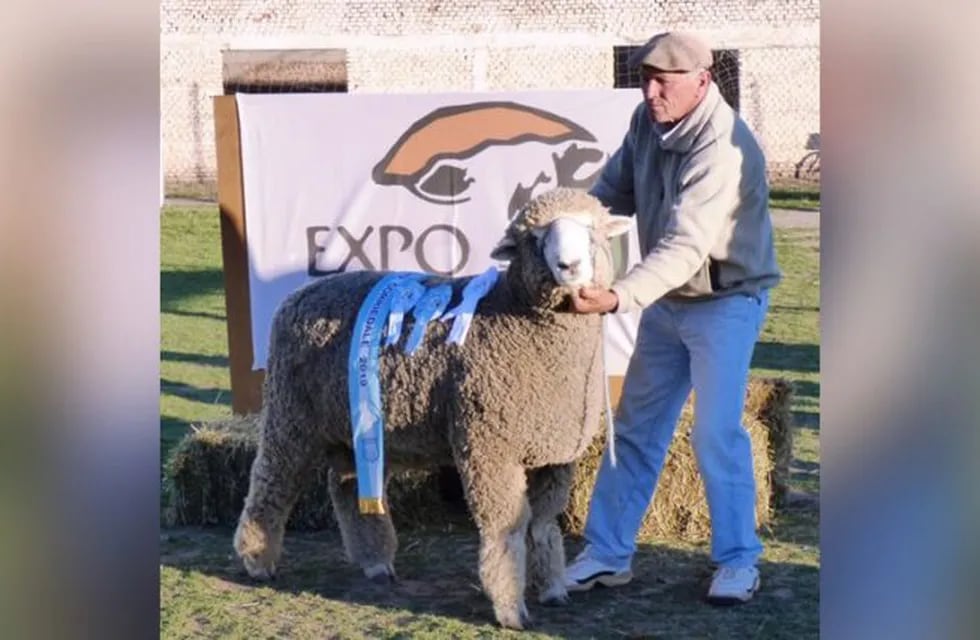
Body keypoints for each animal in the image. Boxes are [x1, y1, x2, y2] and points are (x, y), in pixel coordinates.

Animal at [238, 186, 636, 632]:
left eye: (594, 229)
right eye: (534, 237)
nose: (569, 266)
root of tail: (296, 296)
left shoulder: (554, 456)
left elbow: (544, 525)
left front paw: (552, 589)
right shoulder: (490, 448)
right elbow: (507, 529)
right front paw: (511, 608)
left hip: (351, 427)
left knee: (346, 487)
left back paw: (375, 562)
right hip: (290, 414)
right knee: (272, 481)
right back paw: (257, 560)